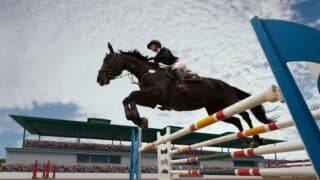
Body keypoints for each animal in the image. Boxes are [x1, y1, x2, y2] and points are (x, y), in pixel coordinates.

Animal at [97, 43, 272, 147]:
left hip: (229, 103)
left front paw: (138, 119)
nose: (99, 79)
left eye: (108, 60)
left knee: (246, 115)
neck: (148, 72)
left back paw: (256, 139)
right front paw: (138, 119)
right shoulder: (151, 100)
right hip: (214, 111)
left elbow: (130, 95)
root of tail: (228, 85)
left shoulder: (153, 96)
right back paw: (245, 139)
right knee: (236, 121)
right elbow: (127, 98)